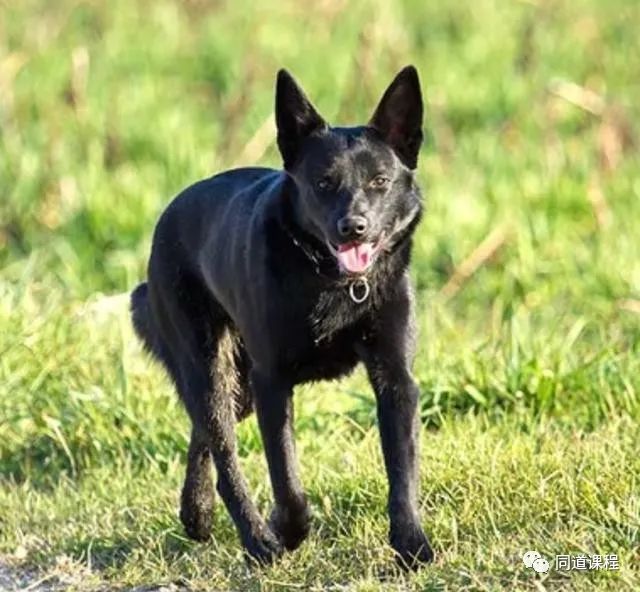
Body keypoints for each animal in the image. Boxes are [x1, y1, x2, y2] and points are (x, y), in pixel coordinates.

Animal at [130, 66, 432, 568]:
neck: (332, 281)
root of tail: (168, 217)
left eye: (380, 181)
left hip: (239, 386)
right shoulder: (272, 381)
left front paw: (412, 544)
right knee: (224, 452)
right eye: (324, 183)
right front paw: (288, 532)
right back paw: (256, 540)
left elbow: (402, 472)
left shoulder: (396, 379)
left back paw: (197, 513)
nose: (354, 228)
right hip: (212, 368)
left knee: (203, 434)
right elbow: (286, 480)